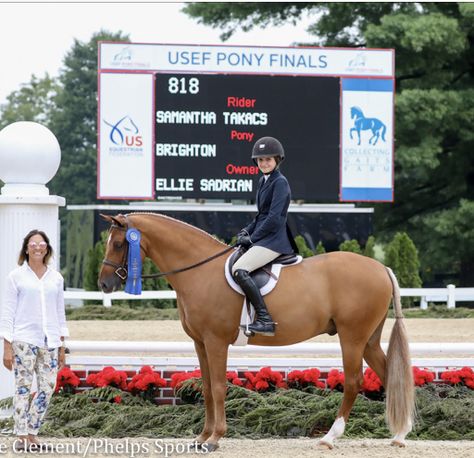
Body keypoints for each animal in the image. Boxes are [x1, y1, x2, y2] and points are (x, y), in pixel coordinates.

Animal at [100, 214, 414, 450]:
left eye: (119, 243)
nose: (103, 284)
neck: (200, 272)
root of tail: (381, 268)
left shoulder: (216, 342)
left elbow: (218, 387)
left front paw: (215, 439)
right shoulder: (200, 342)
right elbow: (206, 387)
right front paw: (202, 437)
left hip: (352, 337)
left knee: (353, 381)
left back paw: (330, 437)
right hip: (369, 340)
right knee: (390, 376)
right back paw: (400, 435)